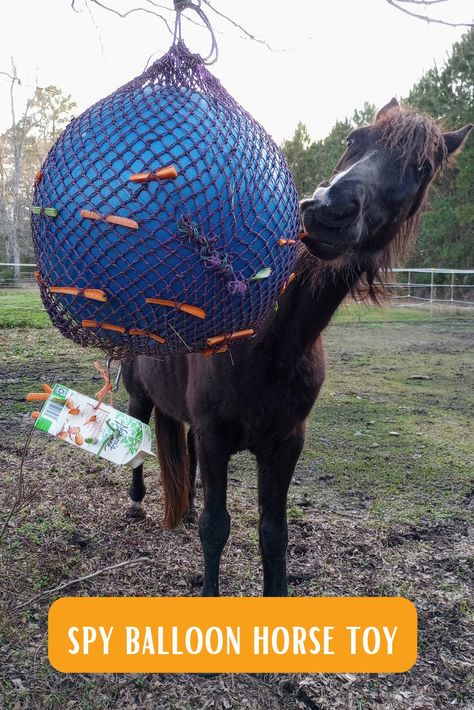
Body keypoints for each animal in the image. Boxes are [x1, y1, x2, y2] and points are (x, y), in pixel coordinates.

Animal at [122, 100, 470, 596]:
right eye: (353, 138)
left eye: (423, 168)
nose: (330, 210)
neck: (270, 342)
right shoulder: (215, 439)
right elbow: (216, 528)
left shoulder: (284, 445)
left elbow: (273, 534)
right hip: (139, 394)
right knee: (136, 433)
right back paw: (135, 503)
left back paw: (183, 507)